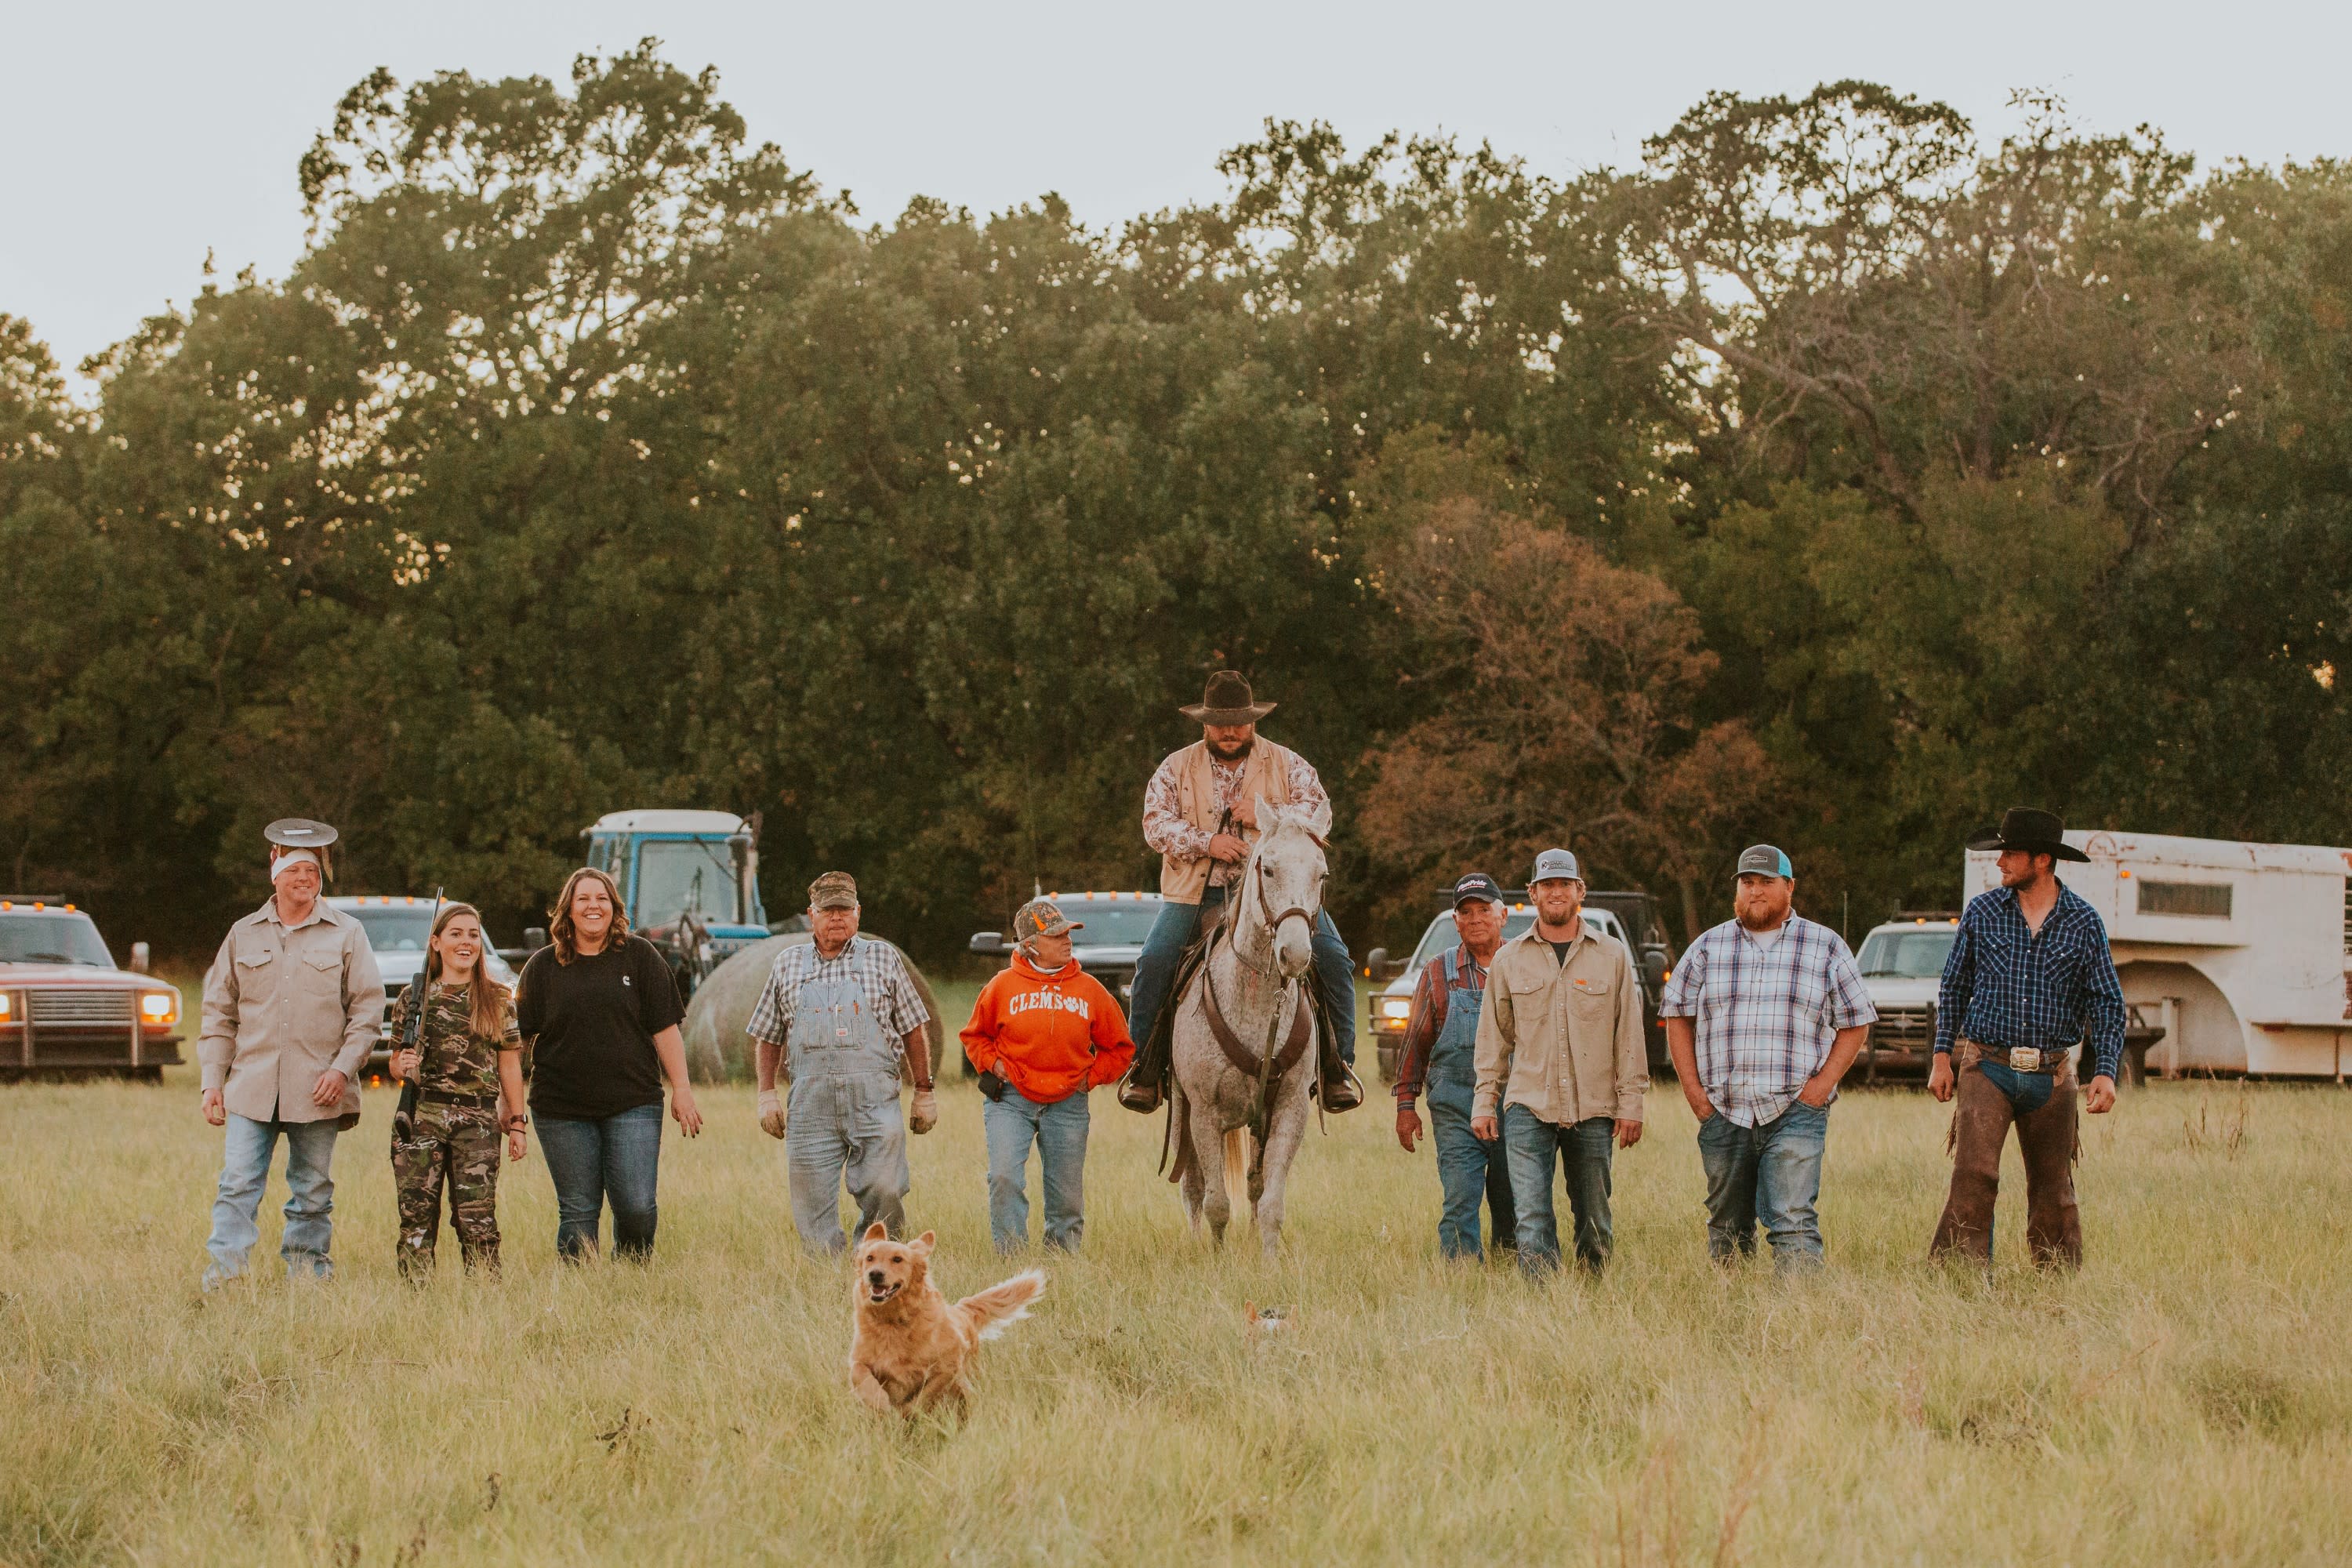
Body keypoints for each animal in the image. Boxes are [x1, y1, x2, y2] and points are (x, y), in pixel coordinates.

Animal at [837, 1222, 1040, 1420]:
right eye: (870, 1258)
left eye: (897, 1259)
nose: (875, 1274)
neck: (892, 1321)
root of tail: (961, 1308)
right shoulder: (859, 1359)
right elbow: (861, 1375)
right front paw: (879, 1402)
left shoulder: (948, 1365)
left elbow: (924, 1396)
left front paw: (907, 1413)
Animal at [1171, 804, 1336, 1260]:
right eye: (1269, 869)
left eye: (1321, 874)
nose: (1294, 954)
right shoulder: (1204, 1114)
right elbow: (1215, 1203)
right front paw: (1215, 1259)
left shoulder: (1289, 1110)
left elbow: (1271, 1202)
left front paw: (1268, 1263)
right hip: (1181, 1111)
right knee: (1193, 1188)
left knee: (1253, 1186)